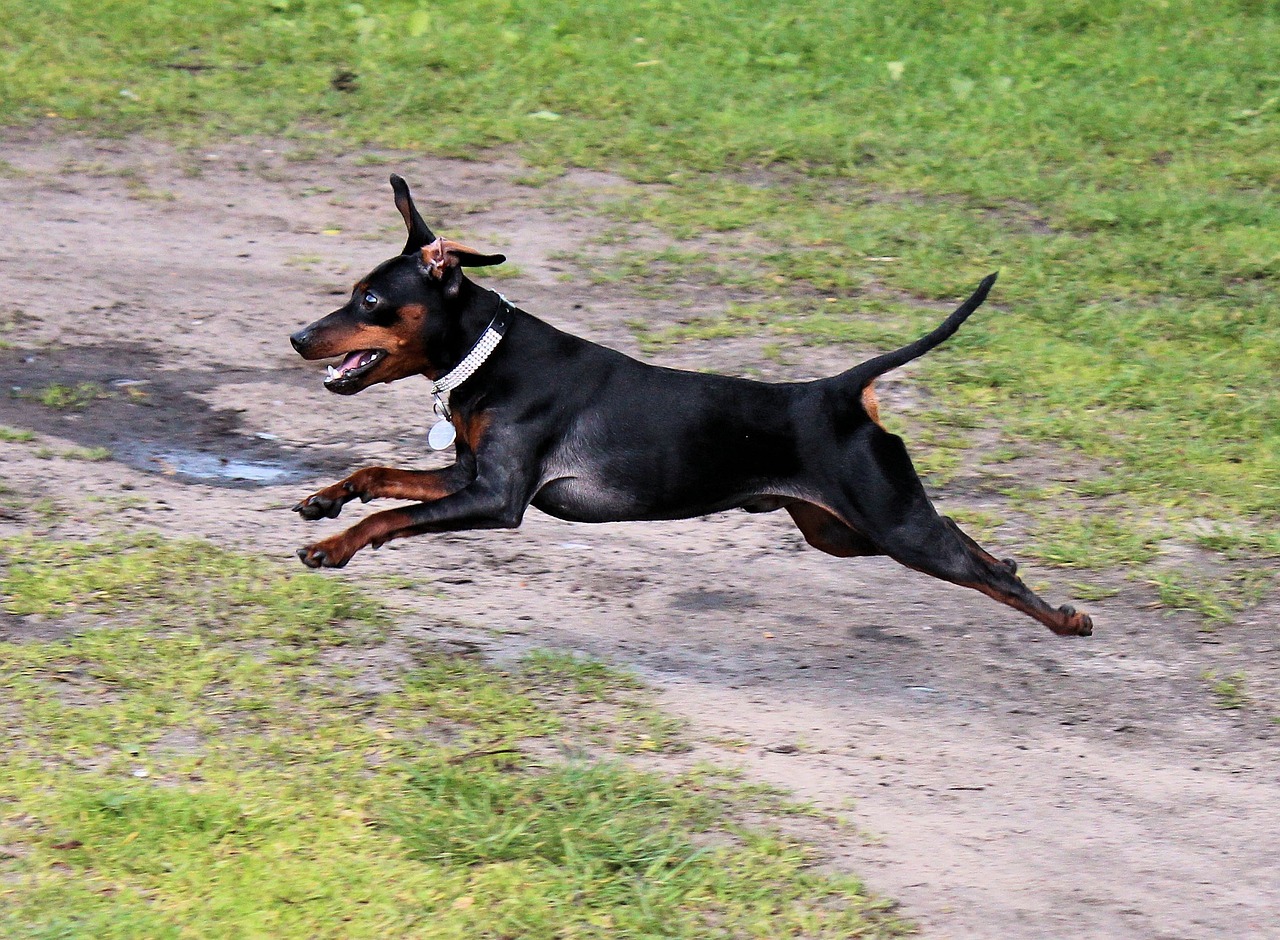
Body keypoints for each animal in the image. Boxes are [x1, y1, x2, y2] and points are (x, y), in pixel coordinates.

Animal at [290, 172, 1090, 637]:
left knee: (979, 567)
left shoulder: (498, 498)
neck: (491, 353)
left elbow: (393, 516)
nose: (298, 336)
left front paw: (336, 546)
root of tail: (840, 391)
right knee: (968, 541)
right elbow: (376, 474)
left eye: (369, 300)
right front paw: (327, 501)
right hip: (843, 532)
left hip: (890, 527)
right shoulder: (467, 476)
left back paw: (1065, 621)